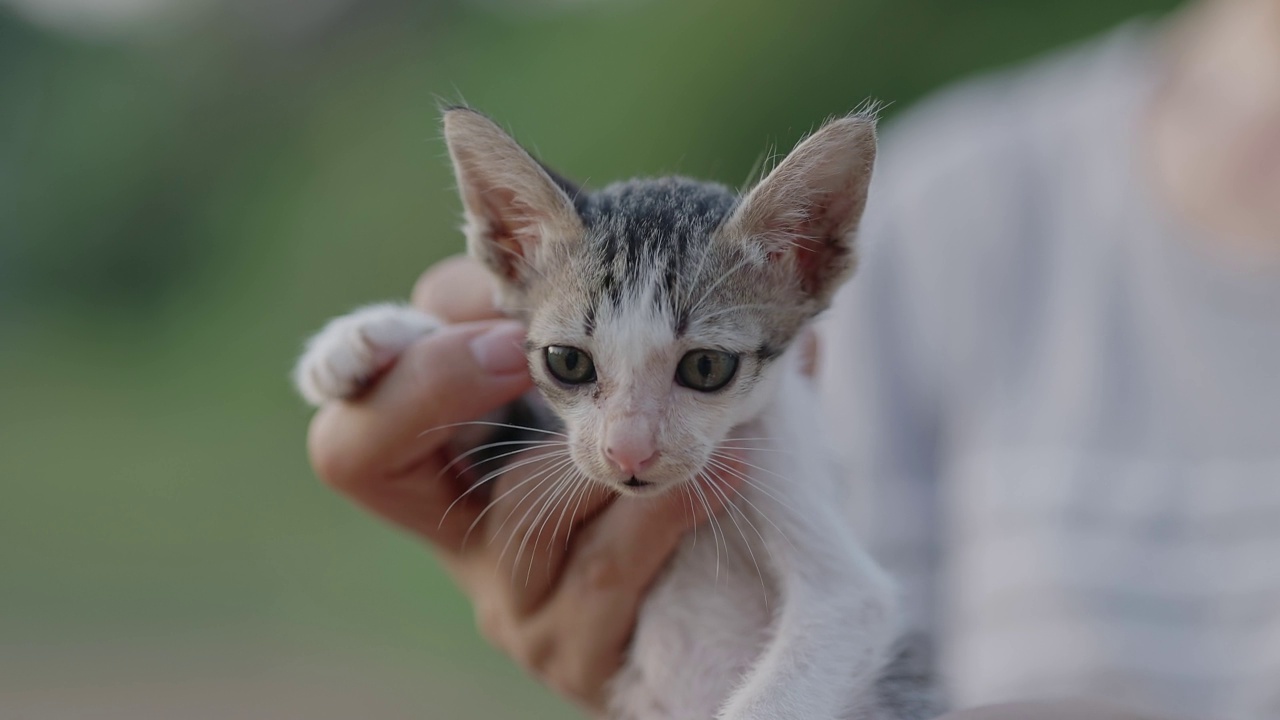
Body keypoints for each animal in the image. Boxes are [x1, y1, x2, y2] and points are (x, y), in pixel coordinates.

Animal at [293, 106, 942, 717]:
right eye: (567, 362)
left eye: (706, 367)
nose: (628, 450)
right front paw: (365, 337)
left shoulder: (804, 503)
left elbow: (840, 611)